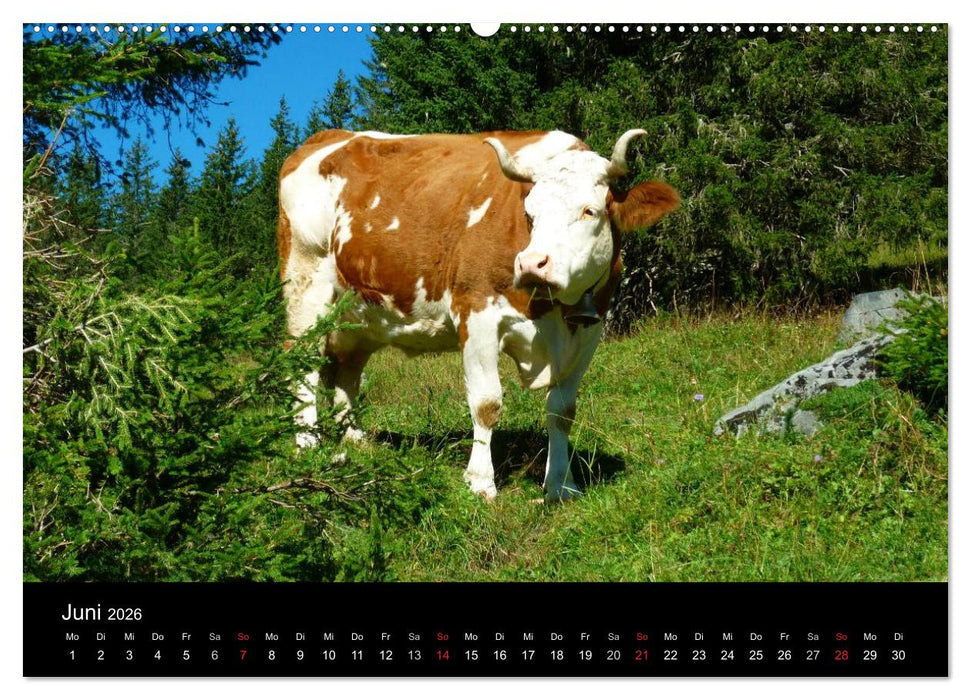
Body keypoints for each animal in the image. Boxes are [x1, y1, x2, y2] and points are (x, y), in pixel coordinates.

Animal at [277, 129, 678, 502]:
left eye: (589, 211)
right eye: (530, 215)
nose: (532, 263)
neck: (551, 311)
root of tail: (329, 136)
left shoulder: (588, 332)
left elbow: (563, 410)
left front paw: (561, 485)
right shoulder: (477, 314)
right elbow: (487, 403)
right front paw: (481, 483)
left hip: (360, 316)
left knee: (347, 370)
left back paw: (355, 439)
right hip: (306, 284)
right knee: (303, 364)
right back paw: (308, 445)